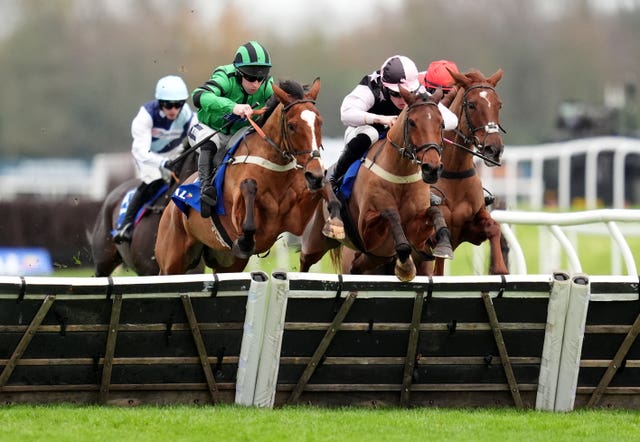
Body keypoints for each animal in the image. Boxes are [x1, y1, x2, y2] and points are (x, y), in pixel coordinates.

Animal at [154, 77, 342, 274]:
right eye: (291, 126)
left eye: (319, 123)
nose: (314, 175)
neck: (275, 168)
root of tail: (170, 207)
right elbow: (249, 189)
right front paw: (245, 241)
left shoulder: (295, 218)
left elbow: (326, 189)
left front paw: (336, 222)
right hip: (171, 260)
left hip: (228, 264)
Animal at [298, 88, 444, 282]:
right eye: (412, 122)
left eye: (441, 124)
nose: (432, 168)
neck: (401, 176)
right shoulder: (367, 231)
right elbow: (390, 214)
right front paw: (405, 266)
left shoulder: (416, 234)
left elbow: (433, 212)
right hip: (316, 240)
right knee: (305, 262)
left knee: (360, 265)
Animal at [430, 68, 510, 276]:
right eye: (472, 105)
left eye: (499, 105)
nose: (494, 149)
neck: (454, 172)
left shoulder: (471, 229)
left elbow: (494, 227)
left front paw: (500, 269)